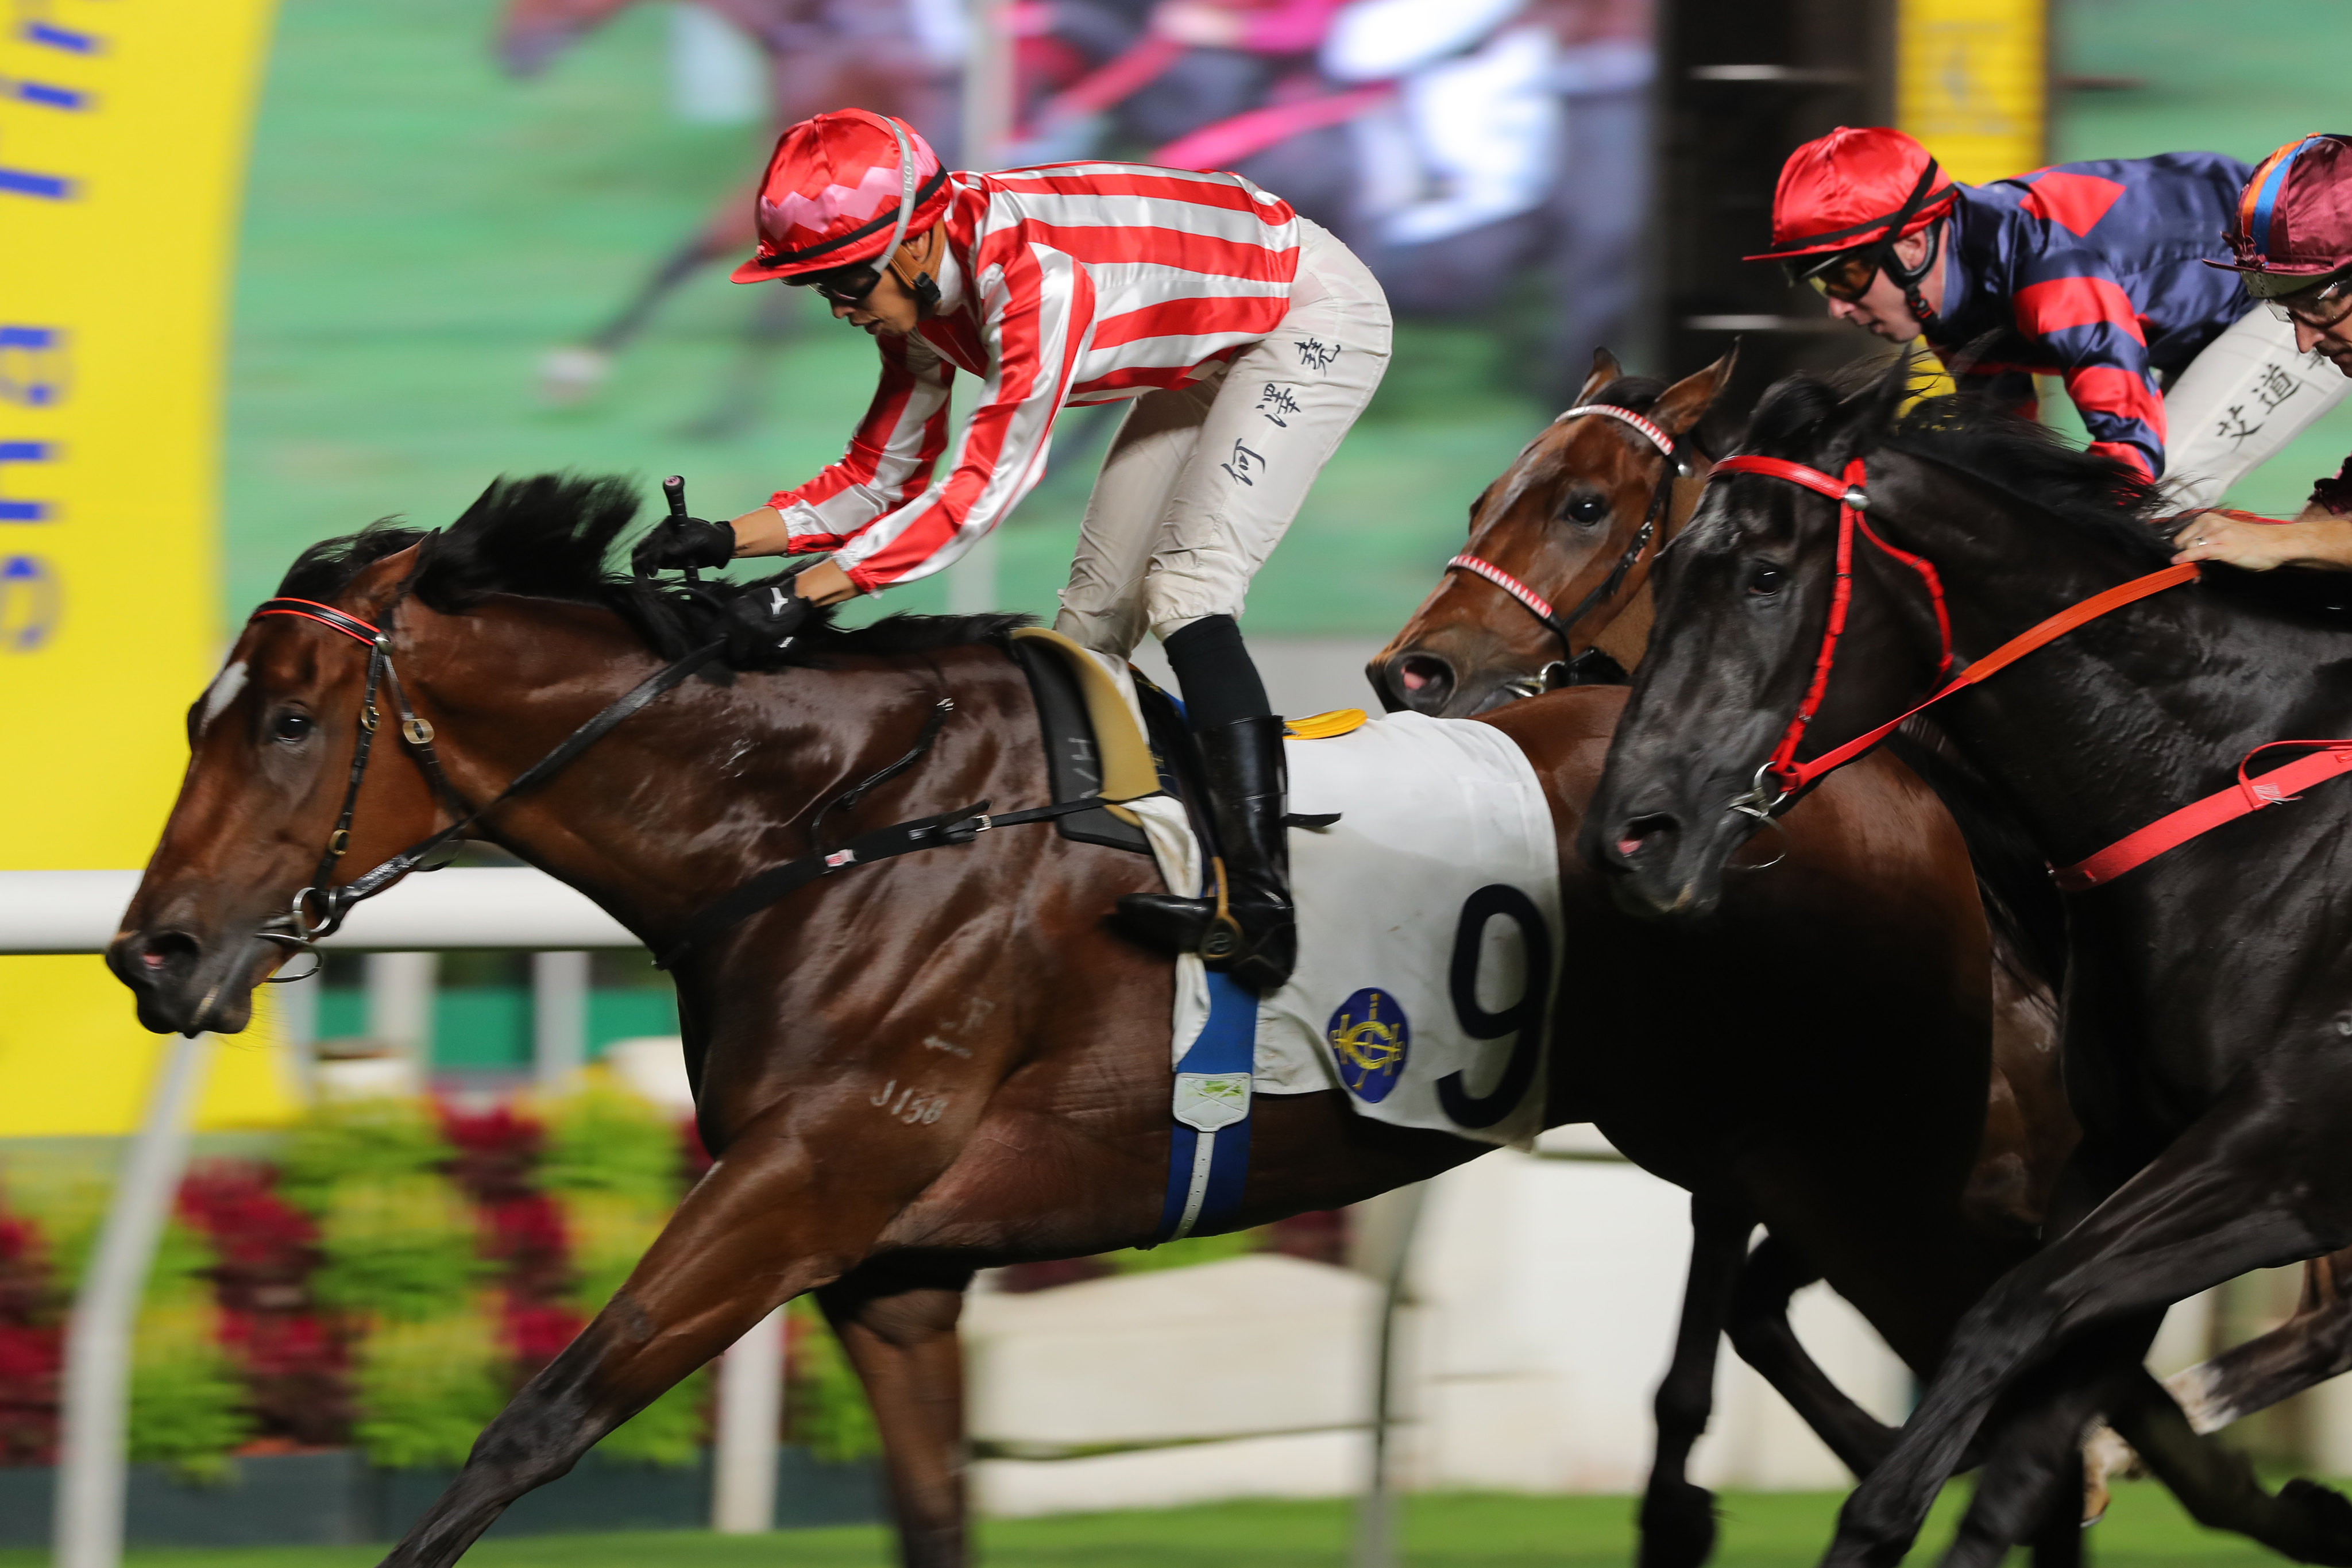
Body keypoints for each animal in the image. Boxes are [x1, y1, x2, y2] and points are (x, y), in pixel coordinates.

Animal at [119, 474, 2069, 1568]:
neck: (823, 820)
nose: (152, 952)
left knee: (2035, 1358)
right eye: (203, 713)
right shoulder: (892, 1266)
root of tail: (1861, 763)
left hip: (1863, 1154)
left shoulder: (802, 1181)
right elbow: (933, 1516)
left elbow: (534, 1424)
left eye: (283, 720)